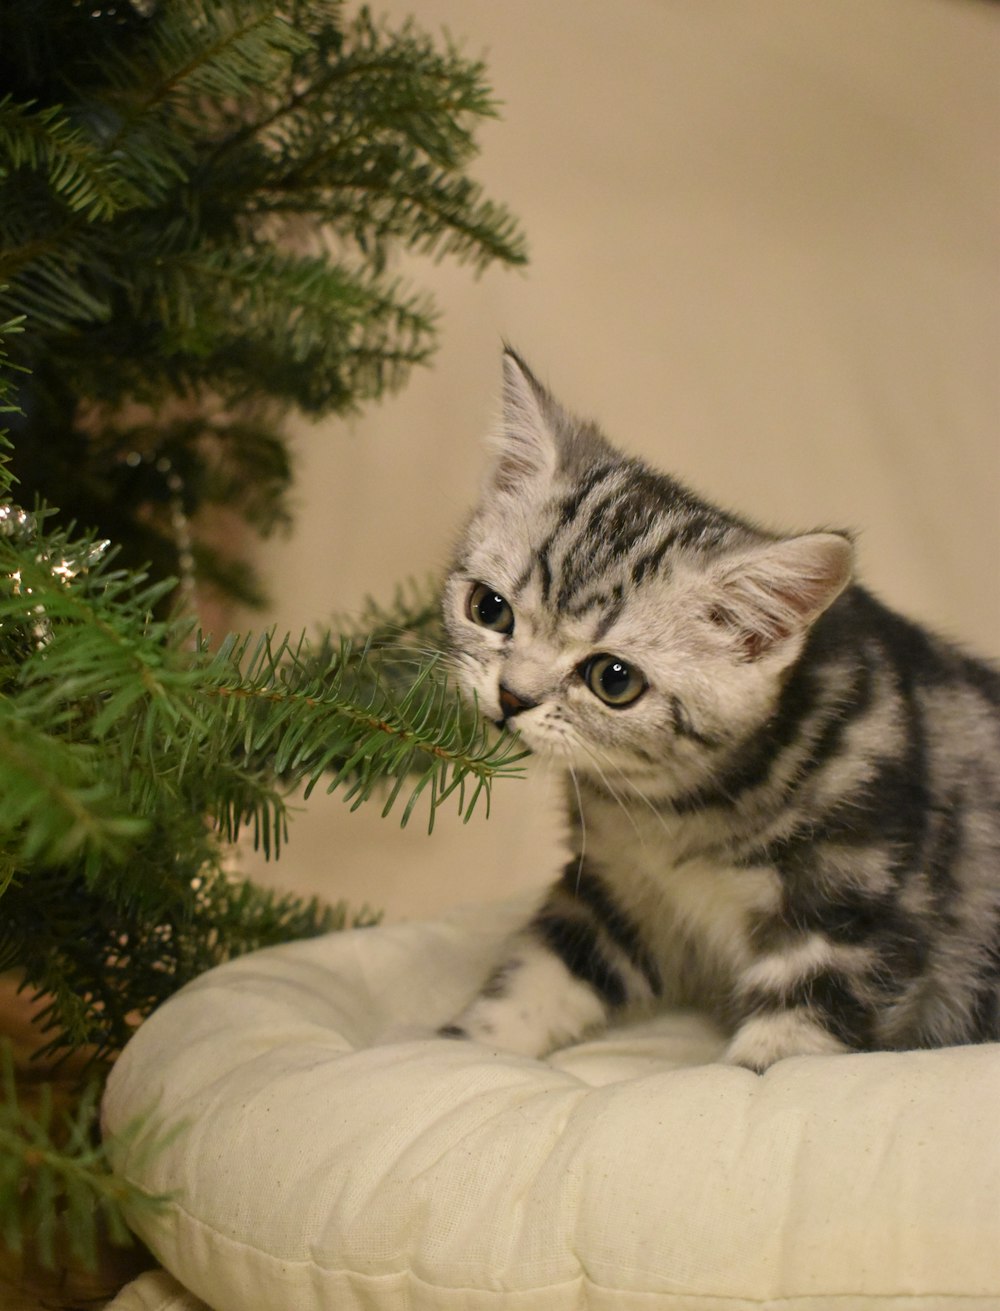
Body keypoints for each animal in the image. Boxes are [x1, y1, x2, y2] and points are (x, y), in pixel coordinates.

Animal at [442, 351, 1000, 1075]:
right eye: (490, 609)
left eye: (613, 680)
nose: (512, 696)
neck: (685, 812)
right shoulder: (615, 895)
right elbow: (536, 977)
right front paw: (456, 1052)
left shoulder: (854, 925)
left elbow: (780, 1060)